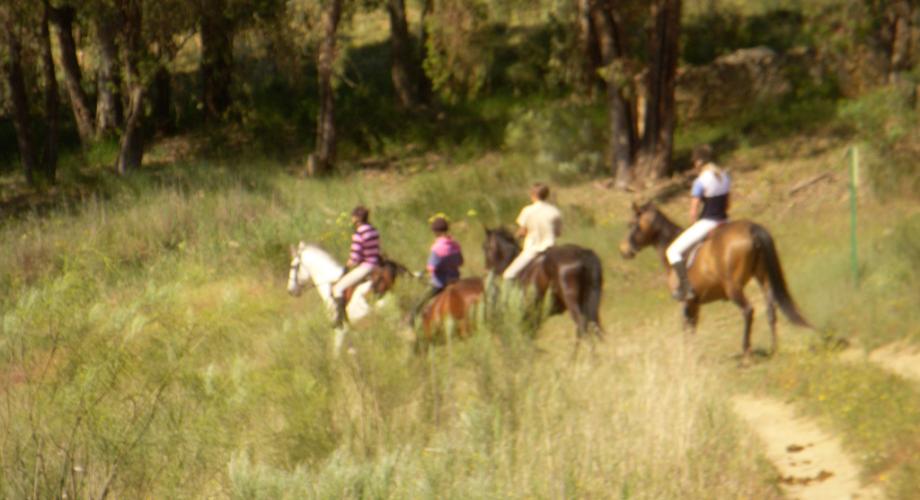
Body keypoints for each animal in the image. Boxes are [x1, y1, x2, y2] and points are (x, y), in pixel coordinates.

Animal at [620, 201, 808, 362]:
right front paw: (691, 356)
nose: (623, 251)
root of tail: (752, 228)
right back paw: (774, 349)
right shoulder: (694, 303)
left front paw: (687, 358)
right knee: (771, 310)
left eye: (631, 224)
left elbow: (686, 327)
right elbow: (692, 327)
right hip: (763, 279)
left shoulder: (686, 302)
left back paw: (746, 355)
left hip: (734, 288)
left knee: (748, 311)